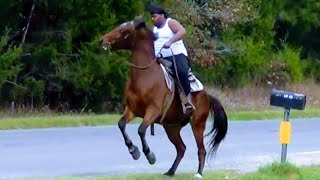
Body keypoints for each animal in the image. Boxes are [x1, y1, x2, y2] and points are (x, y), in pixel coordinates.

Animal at [100, 17, 228, 179]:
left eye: (125, 30)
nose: (102, 40)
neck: (145, 76)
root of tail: (207, 96)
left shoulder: (152, 111)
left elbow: (141, 130)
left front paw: (149, 155)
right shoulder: (132, 110)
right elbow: (121, 124)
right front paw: (133, 150)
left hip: (197, 124)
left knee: (201, 150)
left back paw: (198, 173)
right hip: (171, 127)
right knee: (181, 148)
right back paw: (170, 171)